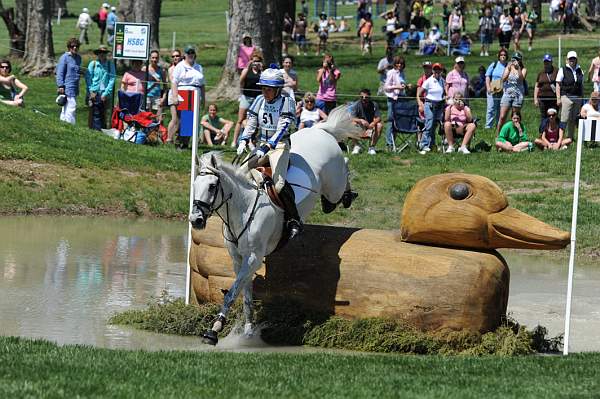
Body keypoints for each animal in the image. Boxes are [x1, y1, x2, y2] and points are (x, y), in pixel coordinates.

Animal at [190, 104, 364, 346]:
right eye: (195, 184)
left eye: (213, 186)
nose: (195, 219)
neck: (243, 207)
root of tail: (320, 130)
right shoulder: (238, 258)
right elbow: (245, 293)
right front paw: (248, 331)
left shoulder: (254, 257)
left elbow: (232, 292)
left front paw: (213, 330)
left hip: (333, 185)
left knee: (343, 171)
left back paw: (349, 195)